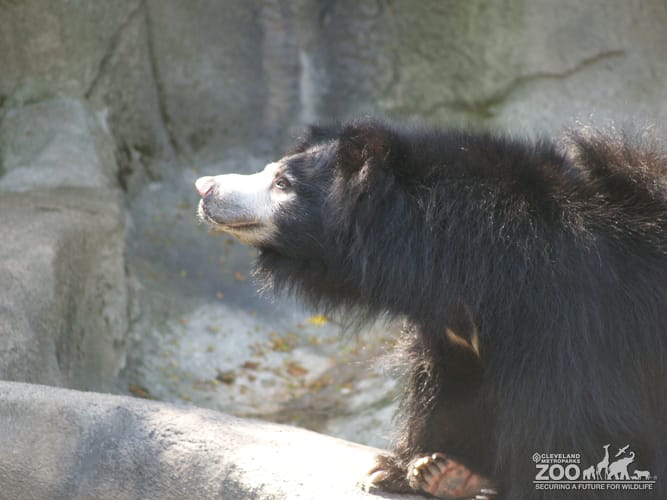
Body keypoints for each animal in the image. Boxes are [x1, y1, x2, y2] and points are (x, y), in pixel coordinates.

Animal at [195, 118, 667, 499]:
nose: (204, 187)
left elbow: (569, 412)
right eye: (271, 171)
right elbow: (444, 384)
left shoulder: (569, 313)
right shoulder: (452, 327)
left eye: (283, 183)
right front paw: (414, 469)